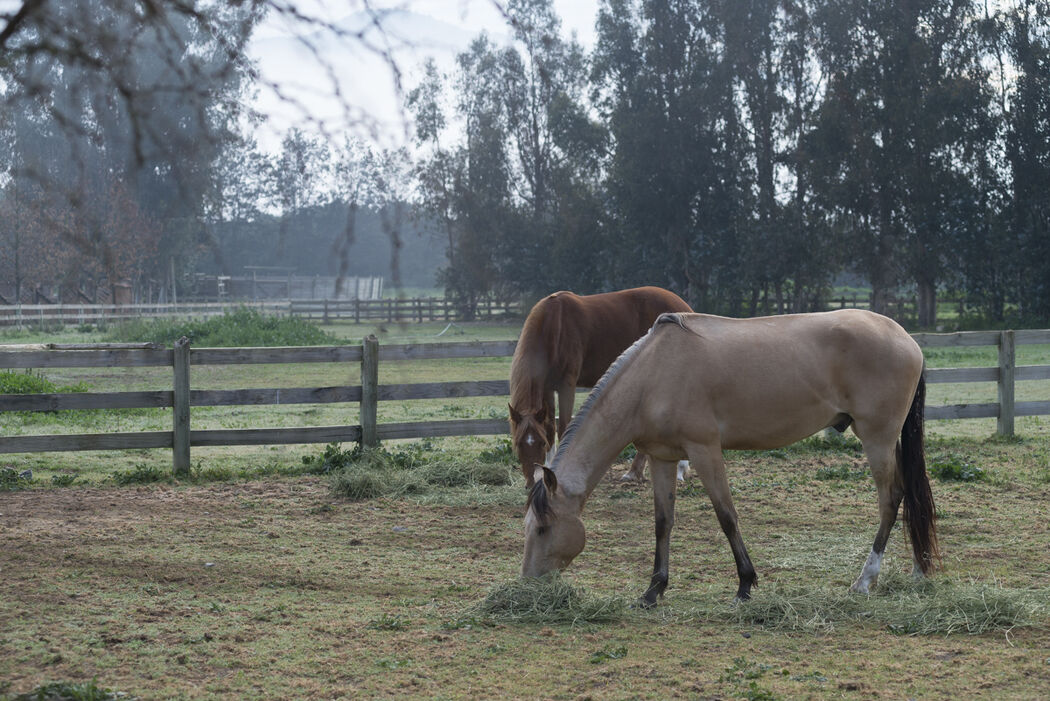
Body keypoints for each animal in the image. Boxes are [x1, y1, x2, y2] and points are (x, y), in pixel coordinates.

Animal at [506, 285, 692, 486]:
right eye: (518, 444)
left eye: (539, 444)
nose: (532, 482)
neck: (553, 326)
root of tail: (684, 308)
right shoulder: (547, 388)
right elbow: (550, 427)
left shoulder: (566, 385)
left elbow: (563, 426)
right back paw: (636, 472)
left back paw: (675, 470)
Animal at [520, 308, 940, 604]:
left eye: (543, 528)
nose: (528, 583)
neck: (653, 376)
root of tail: (906, 339)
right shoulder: (662, 458)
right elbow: (663, 522)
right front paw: (654, 590)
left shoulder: (705, 451)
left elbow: (726, 516)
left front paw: (745, 584)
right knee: (911, 497)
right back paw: (918, 571)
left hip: (876, 439)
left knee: (891, 500)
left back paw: (865, 580)